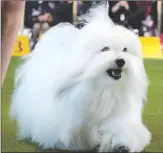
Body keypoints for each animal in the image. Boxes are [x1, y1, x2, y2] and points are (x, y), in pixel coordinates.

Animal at [9, 4, 151, 152]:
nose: (121, 61)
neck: (103, 88)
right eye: (105, 49)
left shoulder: (119, 114)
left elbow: (119, 128)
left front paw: (121, 144)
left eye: (125, 50)